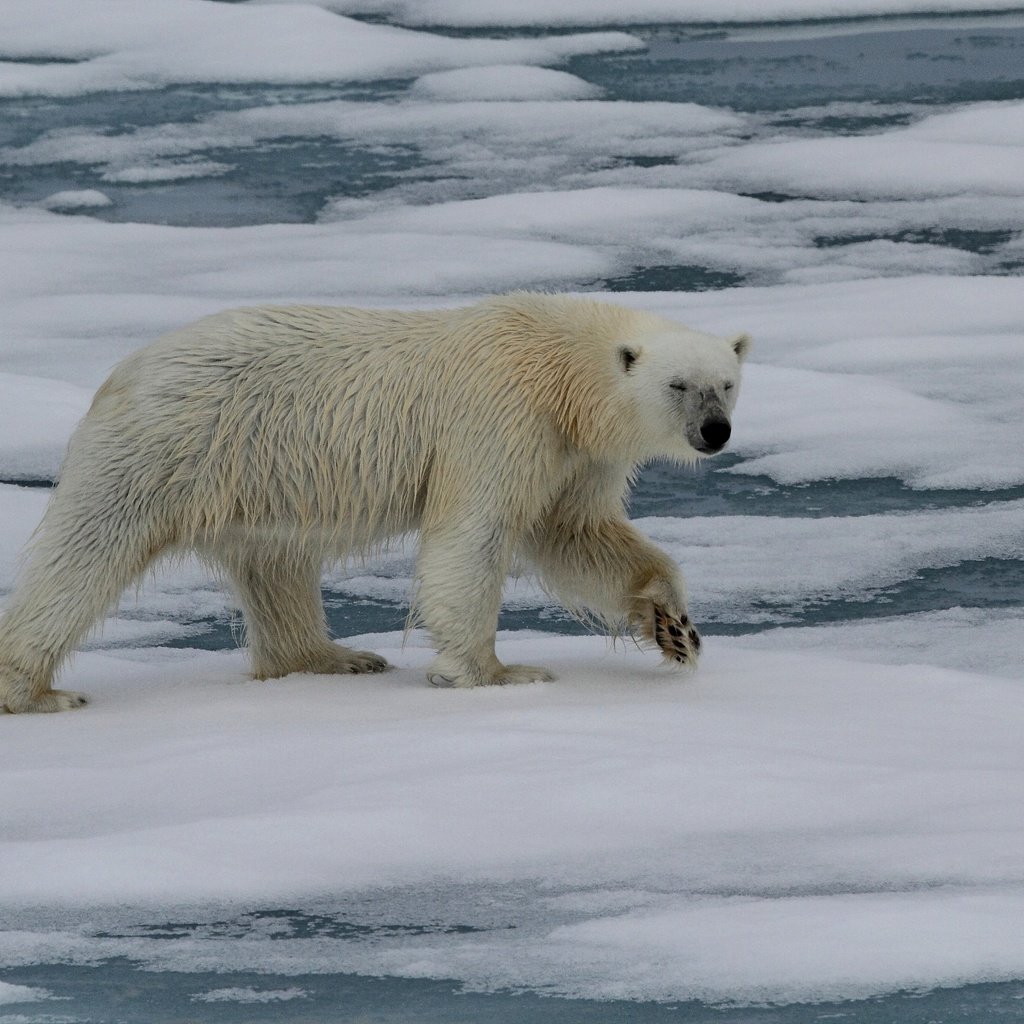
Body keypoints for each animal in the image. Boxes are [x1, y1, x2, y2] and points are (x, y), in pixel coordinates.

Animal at [2, 294, 753, 712]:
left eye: (727, 382)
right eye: (679, 385)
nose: (715, 432)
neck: (560, 363)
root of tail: (121, 371)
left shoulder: (575, 452)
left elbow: (577, 533)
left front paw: (676, 628)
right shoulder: (500, 414)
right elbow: (474, 534)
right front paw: (495, 673)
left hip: (259, 472)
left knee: (276, 563)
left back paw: (330, 657)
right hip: (170, 446)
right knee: (87, 553)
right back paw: (36, 691)